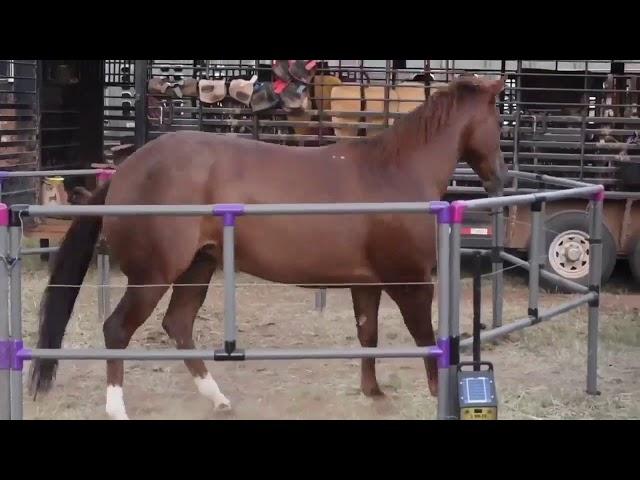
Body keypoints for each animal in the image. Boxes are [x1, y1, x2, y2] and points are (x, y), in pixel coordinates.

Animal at [27, 73, 508, 418]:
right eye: (497, 121)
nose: (500, 178)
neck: (392, 173)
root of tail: (126, 170)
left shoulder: (366, 282)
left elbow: (367, 333)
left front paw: (373, 393)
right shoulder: (410, 281)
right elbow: (425, 338)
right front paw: (434, 394)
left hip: (198, 267)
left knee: (177, 325)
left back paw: (218, 400)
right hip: (153, 275)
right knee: (117, 330)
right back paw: (118, 409)